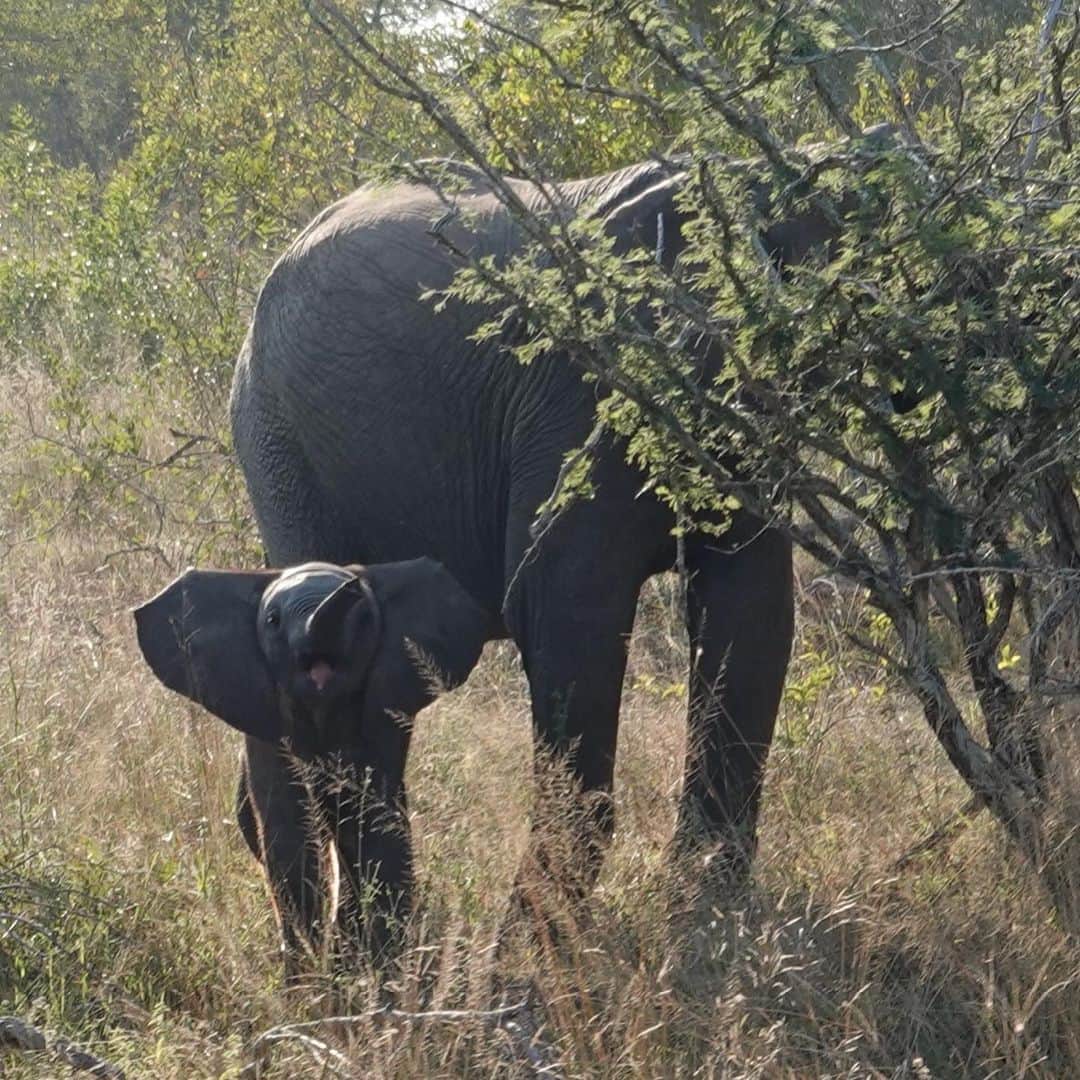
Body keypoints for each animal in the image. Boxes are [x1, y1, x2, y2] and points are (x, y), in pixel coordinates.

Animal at [136, 558, 489, 966]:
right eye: (272, 620)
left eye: (364, 618)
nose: (353, 584)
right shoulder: (263, 713)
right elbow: (289, 831)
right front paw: (312, 976)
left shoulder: (384, 707)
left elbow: (375, 824)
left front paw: (380, 970)